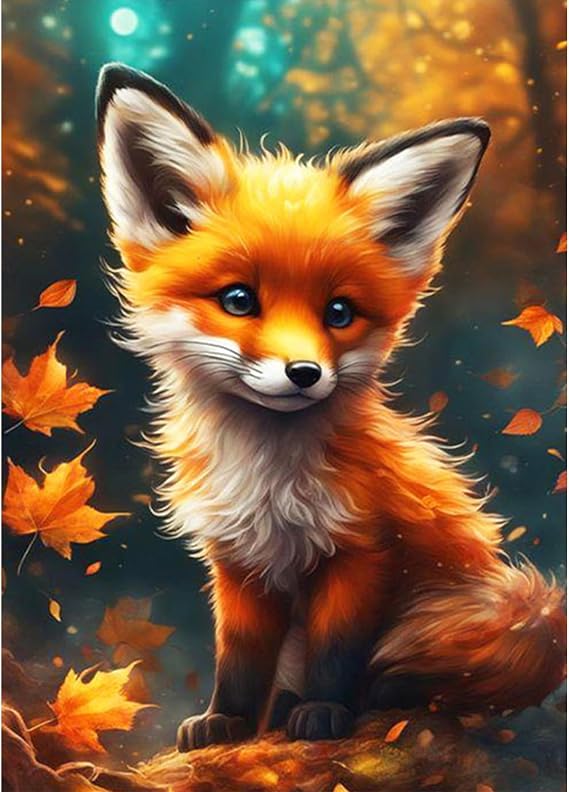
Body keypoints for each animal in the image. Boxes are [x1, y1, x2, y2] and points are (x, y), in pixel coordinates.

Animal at [96, 63, 566, 751]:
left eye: (339, 313)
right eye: (238, 300)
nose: (304, 374)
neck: (269, 481)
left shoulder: (361, 550)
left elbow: (336, 651)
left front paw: (322, 712)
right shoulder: (239, 561)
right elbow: (239, 656)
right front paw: (228, 722)